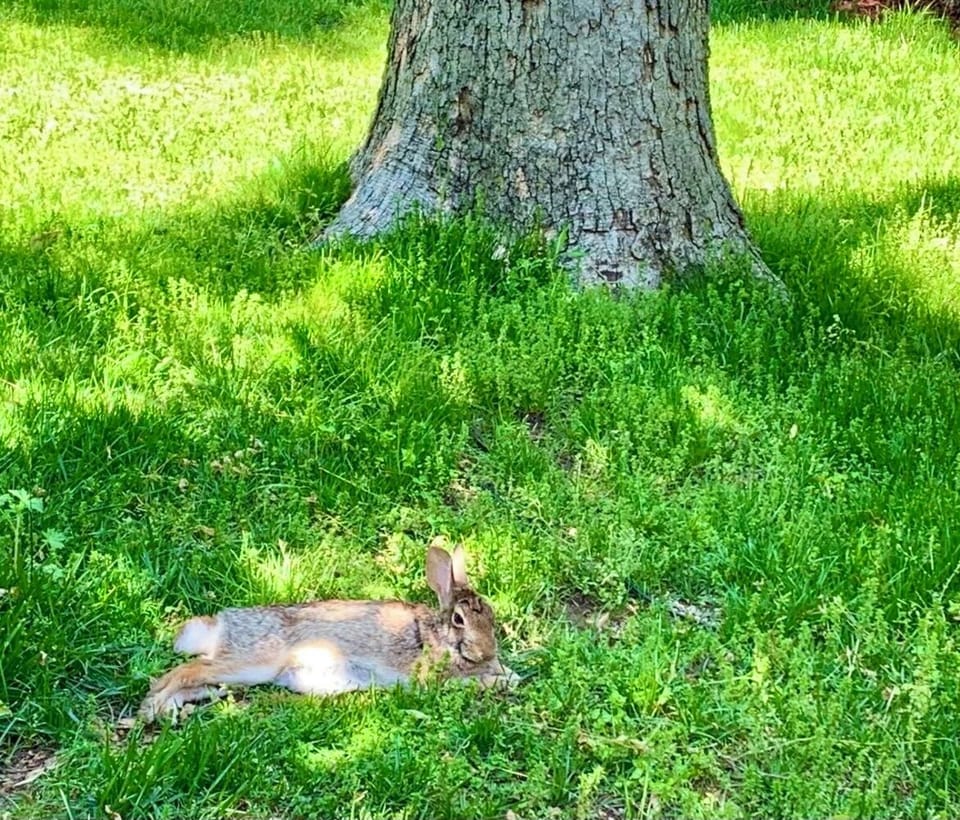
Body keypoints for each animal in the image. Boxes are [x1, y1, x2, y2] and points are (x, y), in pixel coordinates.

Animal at [138, 543, 514, 722]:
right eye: (459, 620)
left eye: (491, 615)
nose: (486, 651)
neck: (438, 635)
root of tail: (221, 624)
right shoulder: (428, 679)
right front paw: (499, 680)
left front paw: (507, 674)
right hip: (253, 660)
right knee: (185, 670)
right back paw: (151, 709)